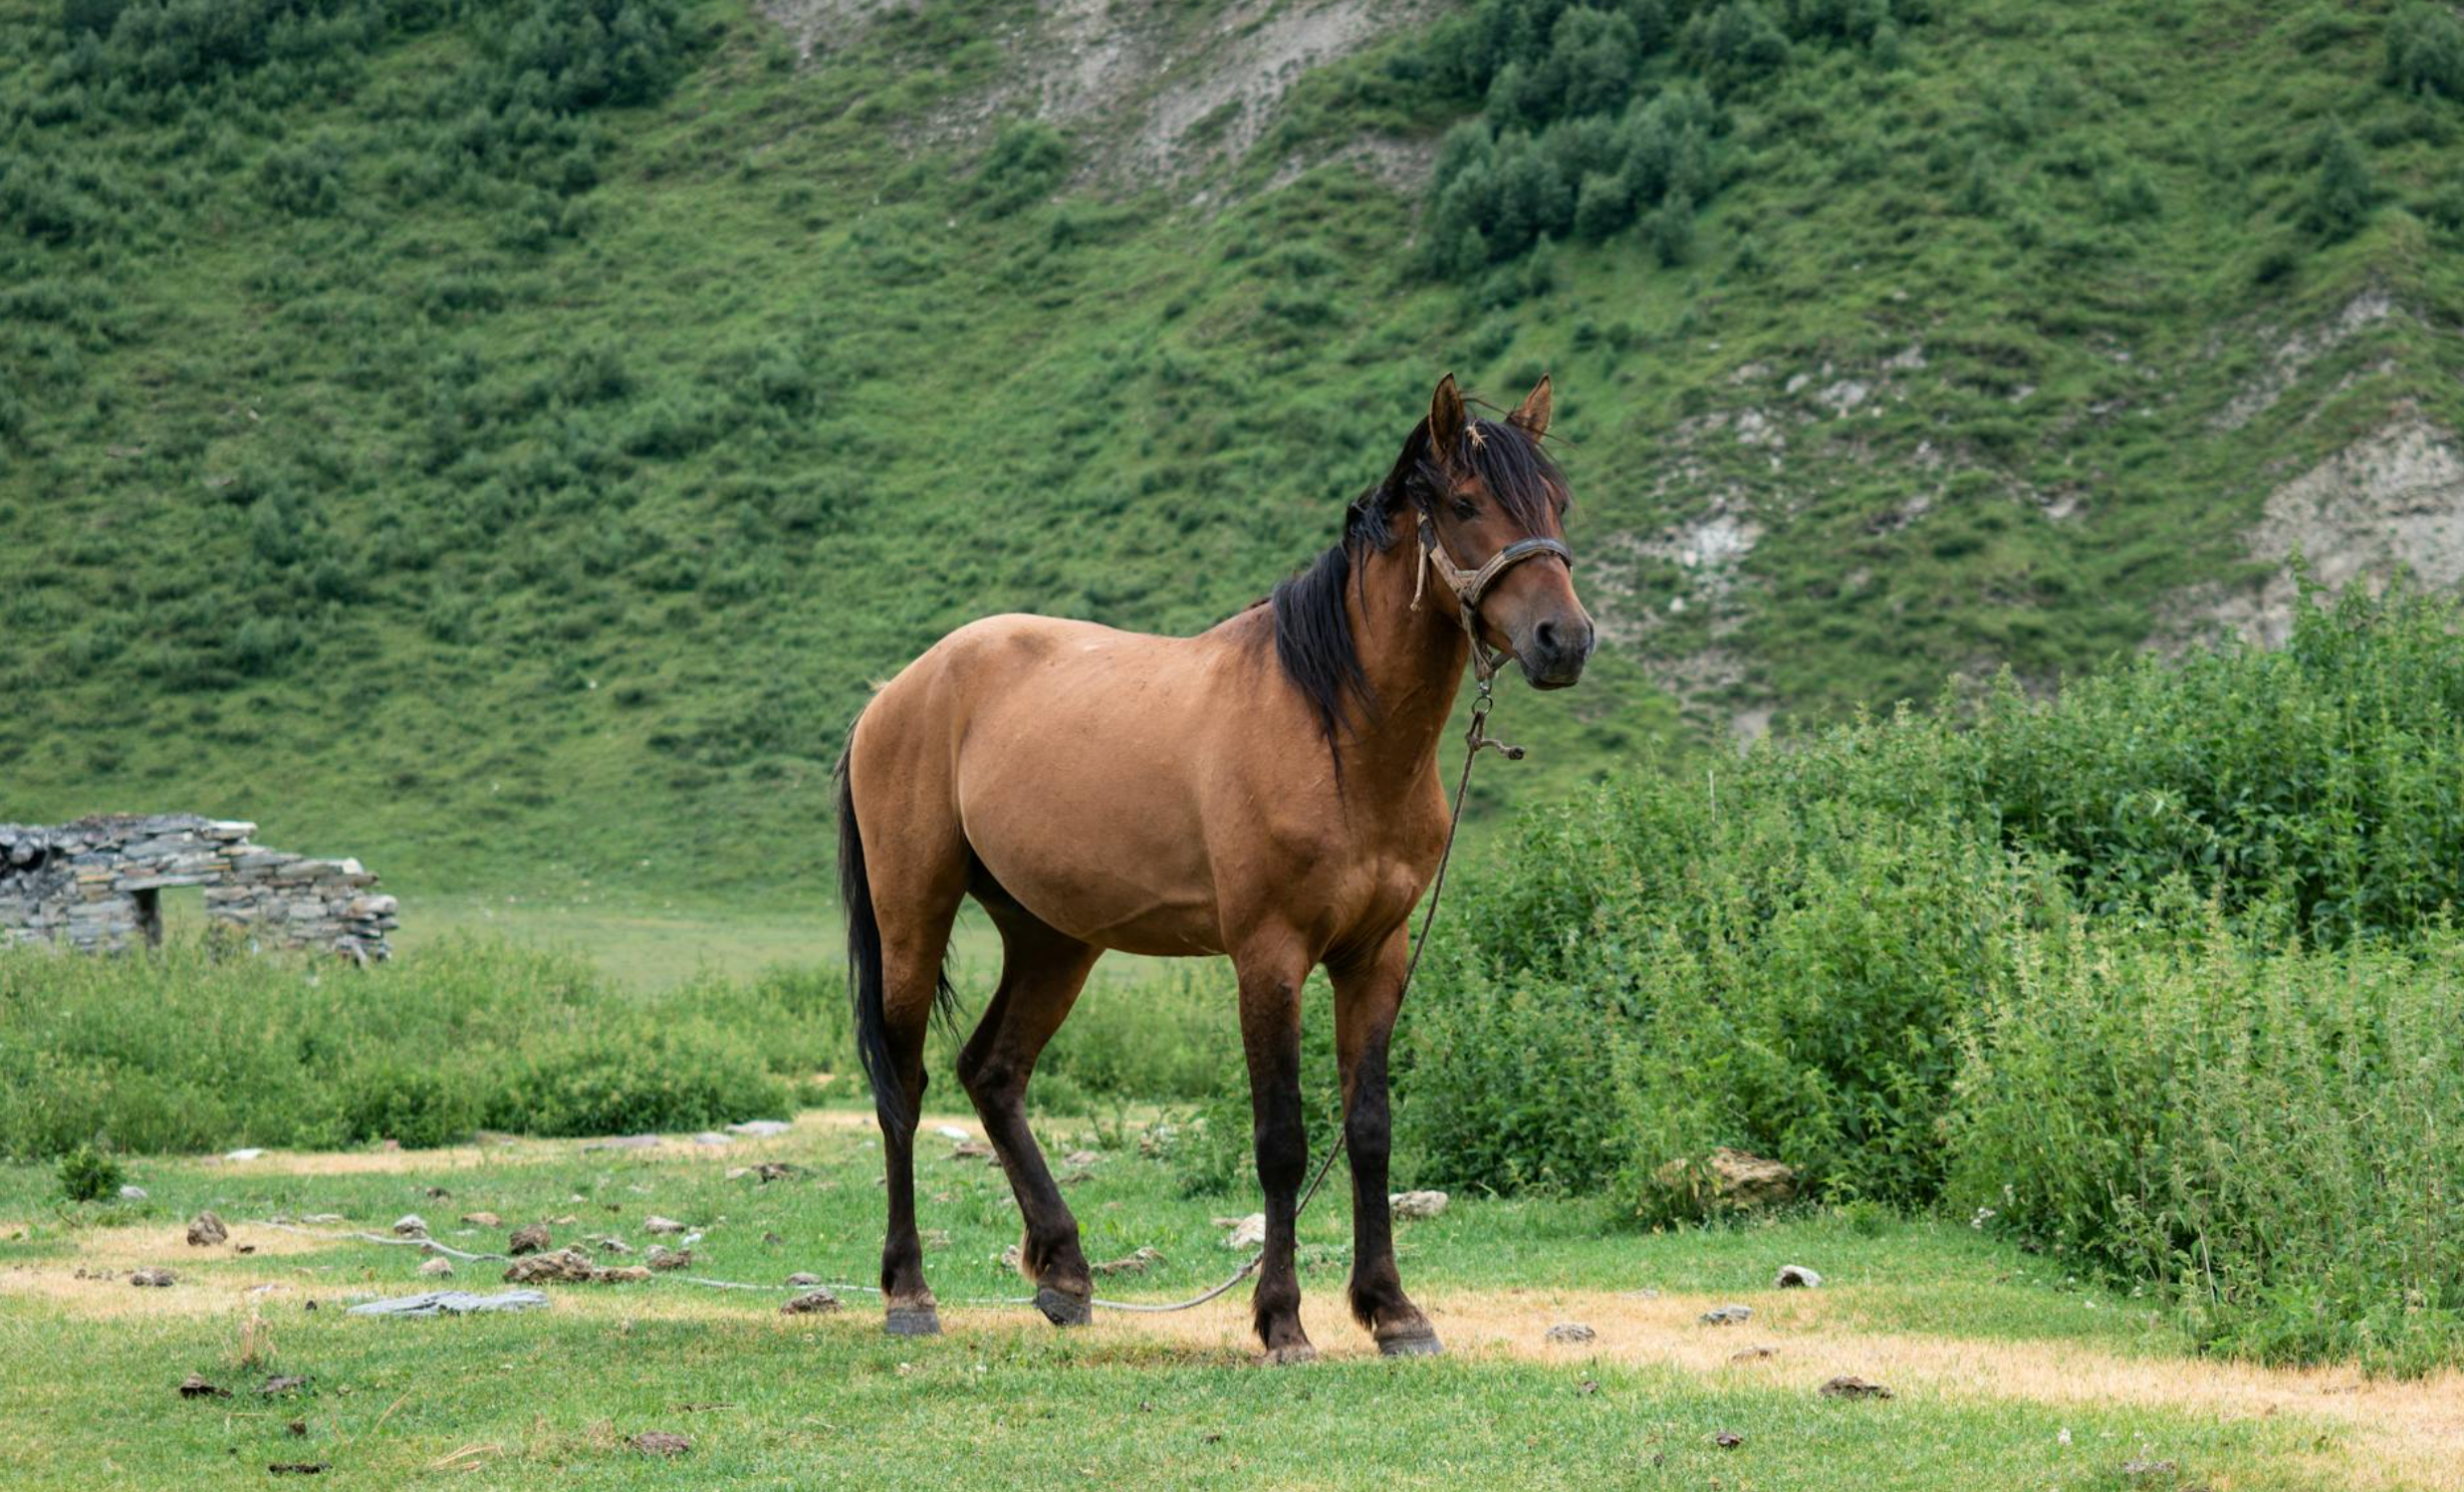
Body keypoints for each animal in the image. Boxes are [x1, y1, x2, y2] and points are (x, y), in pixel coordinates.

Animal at [834, 373, 1592, 1362]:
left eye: (1558, 504)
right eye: (1466, 505)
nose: (1564, 639)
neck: (1335, 727)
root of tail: (896, 691)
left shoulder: (1376, 956)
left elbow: (1370, 1129)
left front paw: (1393, 1311)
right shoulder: (1268, 957)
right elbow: (1282, 1140)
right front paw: (1283, 1320)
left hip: (1053, 939)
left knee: (993, 1073)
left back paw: (1066, 1273)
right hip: (912, 918)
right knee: (904, 1088)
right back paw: (910, 1294)